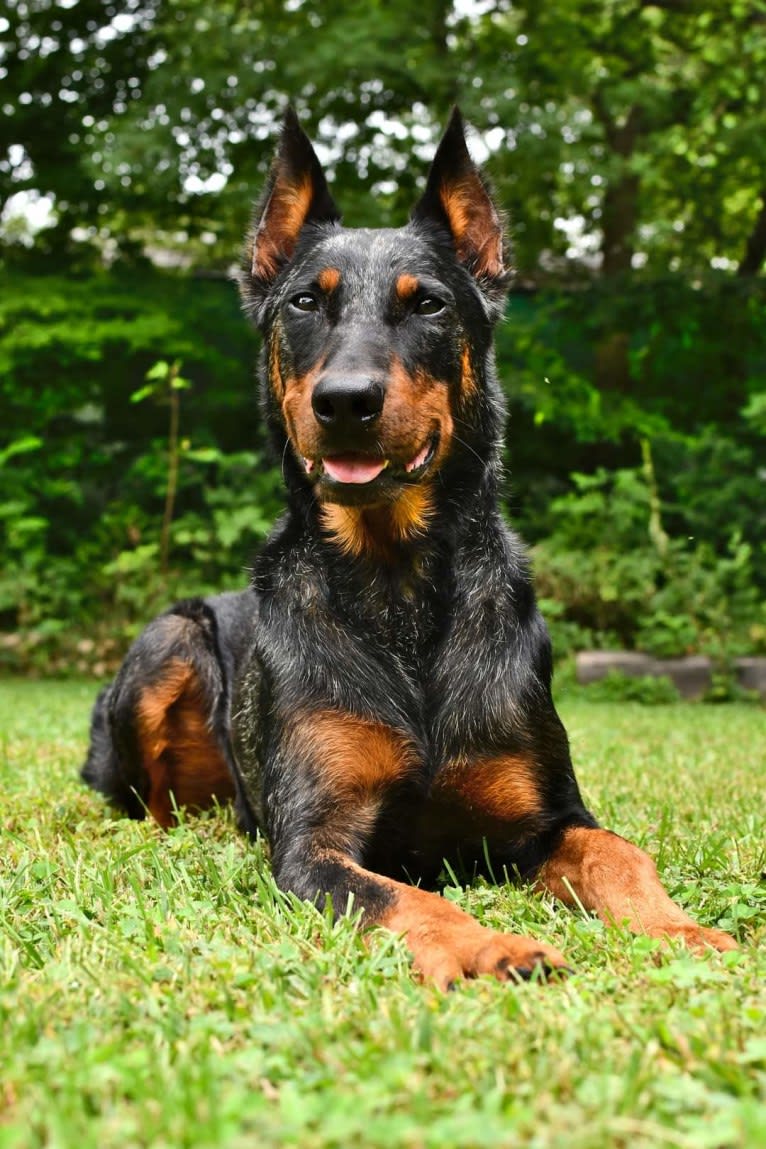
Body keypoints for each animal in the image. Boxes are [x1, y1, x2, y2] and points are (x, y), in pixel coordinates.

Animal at [82, 109, 734, 988]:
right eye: (304, 301)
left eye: (427, 303)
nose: (346, 402)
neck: (396, 589)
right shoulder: (315, 845)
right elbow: (402, 894)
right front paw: (489, 945)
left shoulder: (547, 817)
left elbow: (618, 851)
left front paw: (680, 929)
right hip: (170, 641)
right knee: (156, 806)